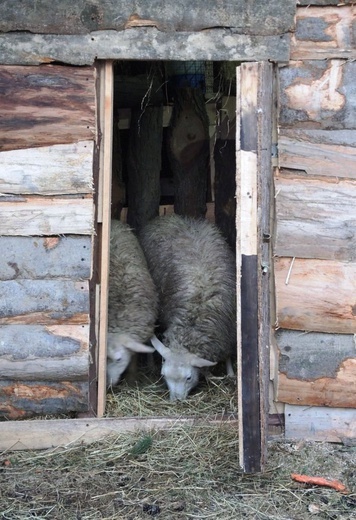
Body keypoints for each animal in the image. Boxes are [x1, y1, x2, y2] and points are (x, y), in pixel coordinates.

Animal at [139, 213, 236, 400]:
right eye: (164, 375)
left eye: (189, 378)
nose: (175, 401)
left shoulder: (228, 330)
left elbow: (228, 354)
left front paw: (231, 373)